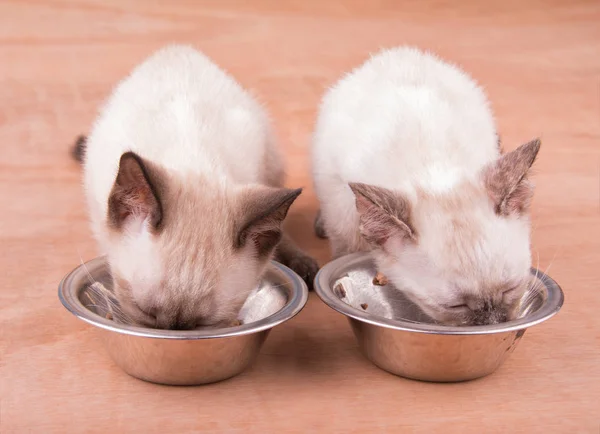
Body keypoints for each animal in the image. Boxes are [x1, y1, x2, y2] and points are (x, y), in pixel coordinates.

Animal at [76, 45, 318, 328]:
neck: (193, 159)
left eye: (202, 324)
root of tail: (176, 48)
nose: (173, 333)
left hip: (270, 161)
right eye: (146, 312)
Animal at [312, 47, 540, 326]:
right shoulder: (343, 217)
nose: (493, 323)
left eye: (510, 289)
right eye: (456, 306)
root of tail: (400, 52)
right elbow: (346, 250)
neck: (431, 167)